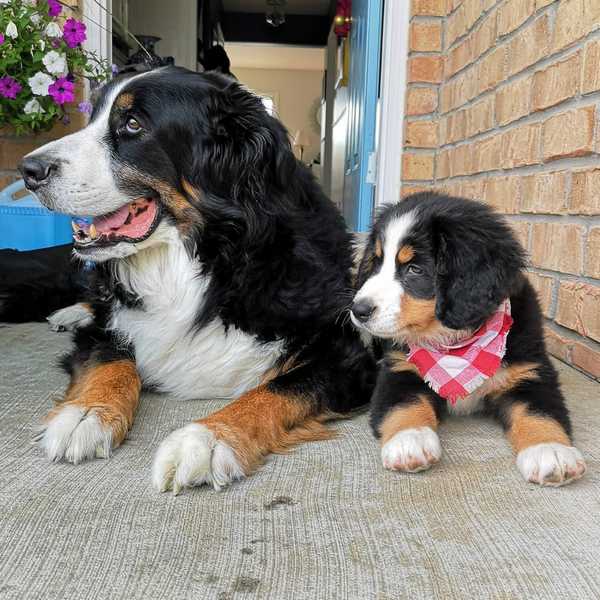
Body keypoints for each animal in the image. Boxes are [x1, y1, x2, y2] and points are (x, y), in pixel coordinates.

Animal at [19, 68, 376, 494]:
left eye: (133, 124)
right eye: (92, 118)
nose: (28, 170)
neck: (204, 258)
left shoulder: (344, 355)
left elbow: (276, 390)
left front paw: (207, 438)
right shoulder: (109, 328)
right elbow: (110, 358)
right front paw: (86, 413)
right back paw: (72, 312)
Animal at [352, 195, 584, 490]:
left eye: (415, 269)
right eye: (376, 262)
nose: (358, 310)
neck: (456, 346)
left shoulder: (530, 372)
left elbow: (540, 412)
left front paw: (551, 451)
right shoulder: (399, 369)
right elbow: (404, 405)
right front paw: (410, 441)